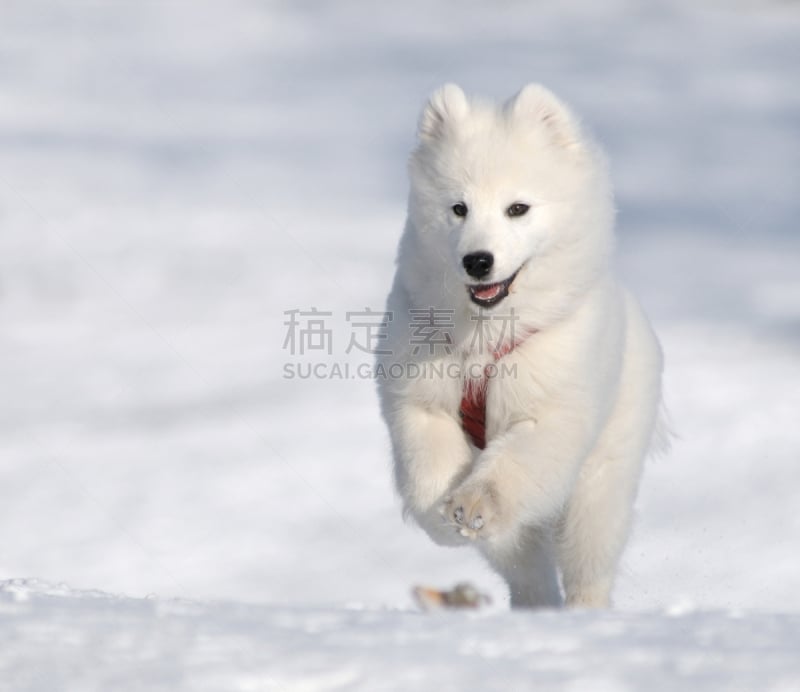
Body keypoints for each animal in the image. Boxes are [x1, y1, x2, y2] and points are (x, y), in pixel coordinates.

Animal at [378, 84, 664, 608]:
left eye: (518, 208)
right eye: (458, 207)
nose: (478, 260)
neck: (486, 338)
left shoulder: (553, 399)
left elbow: (517, 459)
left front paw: (473, 503)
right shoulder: (420, 386)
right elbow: (425, 463)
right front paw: (446, 518)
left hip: (604, 469)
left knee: (589, 552)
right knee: (525, 563)